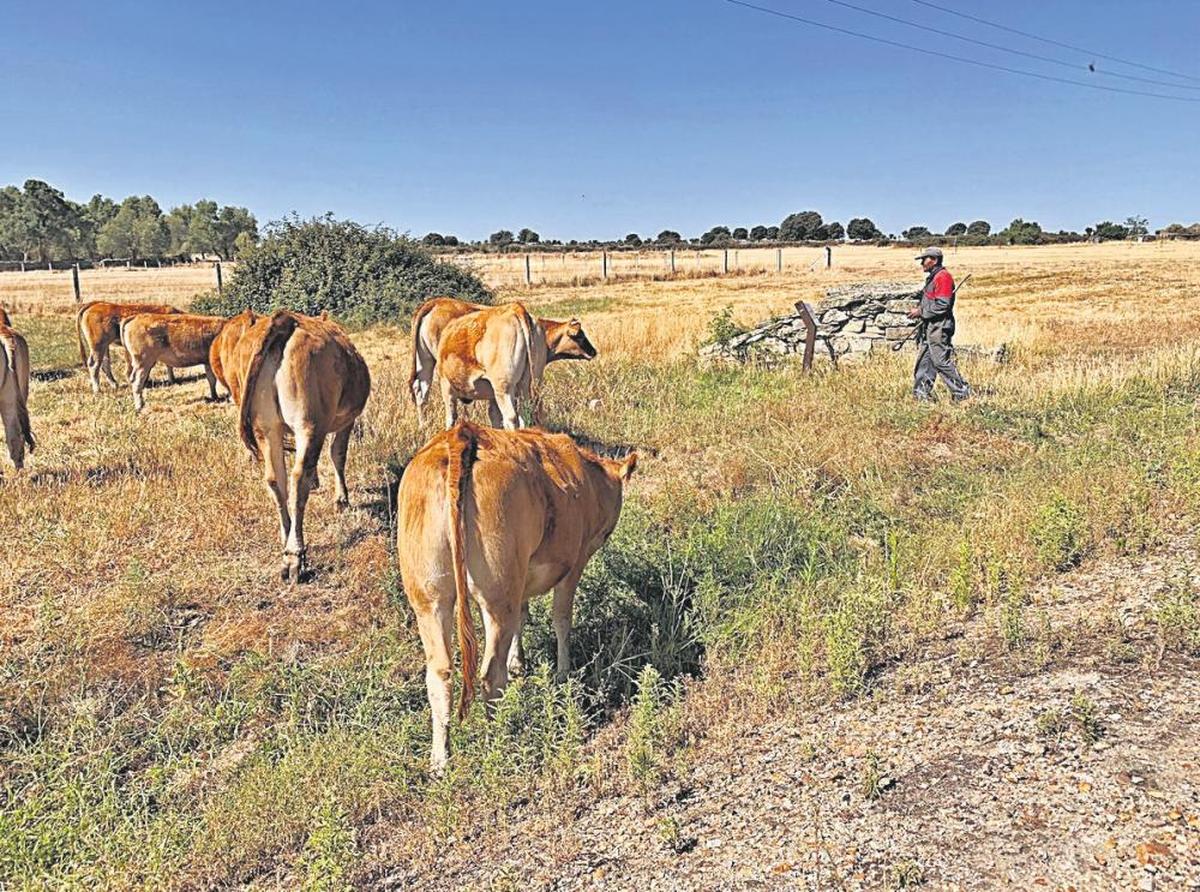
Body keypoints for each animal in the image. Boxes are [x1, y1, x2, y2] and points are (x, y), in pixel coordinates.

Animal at [218, 309, 369, 583]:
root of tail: (286, 320)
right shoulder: (347, 420)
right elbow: (337, 455)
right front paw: (341, 499)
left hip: (267, 426)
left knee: (276, 479)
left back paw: (286, 534)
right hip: (308, 423)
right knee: (299, 477)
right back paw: (294, 556)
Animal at [396, 422, 638, 773]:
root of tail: (461, 435)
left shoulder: (520, 578)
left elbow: (522, 619)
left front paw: (519, 662)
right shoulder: (573, 563)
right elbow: (561, 620)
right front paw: (563, 673)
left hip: (430, 598)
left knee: (440, 673)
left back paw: (440, 760)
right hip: (497, 595)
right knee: (489, 674)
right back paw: (497, 740)